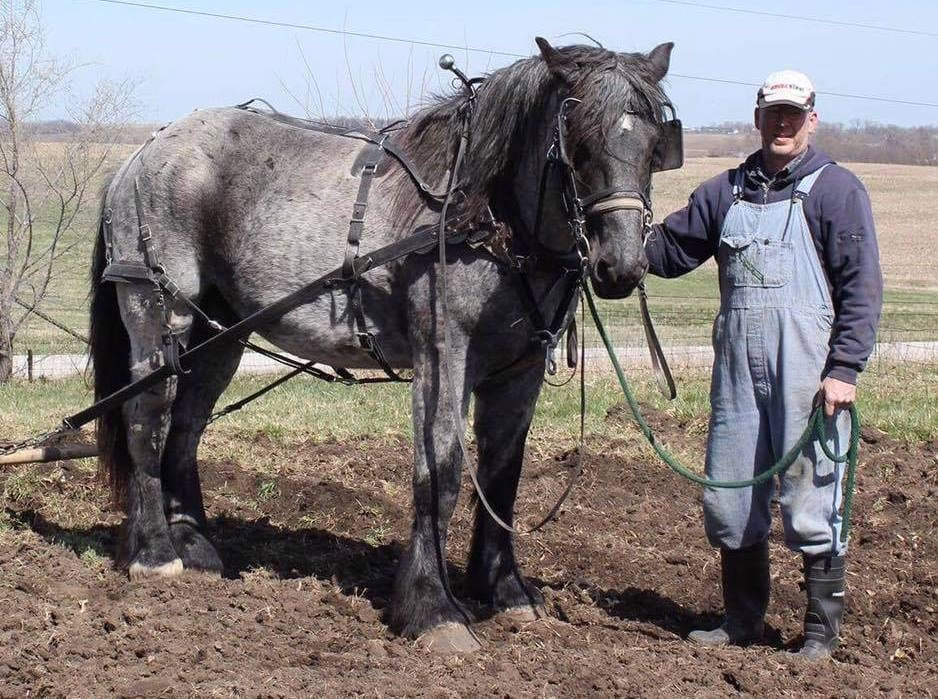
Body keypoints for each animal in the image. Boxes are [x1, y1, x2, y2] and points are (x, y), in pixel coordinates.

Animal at [89, 37, 680, 652]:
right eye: (577, 138)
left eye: (654, 142)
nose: (621, 266)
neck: (481, 213)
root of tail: (142, 152)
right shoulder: (444, 355)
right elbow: (439, 470)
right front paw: (433, 608)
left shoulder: (520, 369)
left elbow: (502, 472)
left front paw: (506, 591)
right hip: (159, 311)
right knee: (146, 418)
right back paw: (156, 553)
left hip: (221, 330)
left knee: (187, 425)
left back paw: (196, 549)